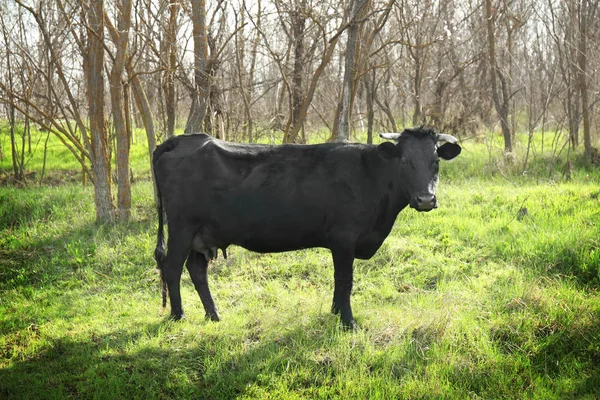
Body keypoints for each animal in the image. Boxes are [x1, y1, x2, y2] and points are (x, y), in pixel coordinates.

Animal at [152, 127, 462, 328]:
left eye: (435, 161)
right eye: (405, 160)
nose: (425, 199)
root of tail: (185, 139)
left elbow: (341, 281)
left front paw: (336, 314)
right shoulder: (344, 238)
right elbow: (344, 279)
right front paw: (348, 322)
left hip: (202, 233)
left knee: (196, 270)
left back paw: (213, 315)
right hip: (182, 226)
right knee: (172, 267)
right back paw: (179, 316)